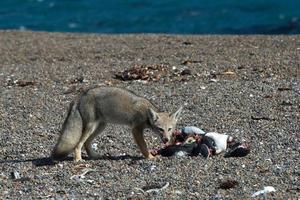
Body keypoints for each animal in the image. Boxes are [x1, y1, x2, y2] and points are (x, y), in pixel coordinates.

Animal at [51, 86, 182, 162]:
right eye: (160, 129)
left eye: (170, 129)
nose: (166, 139)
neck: (146, 113)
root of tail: (80, 96)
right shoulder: (136, 130)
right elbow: (144, 146)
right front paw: (150, 157)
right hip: (91, 127)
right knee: (78, 144)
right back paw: (78, 160)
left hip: (100, 127)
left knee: (87, 143)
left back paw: (94, 157)